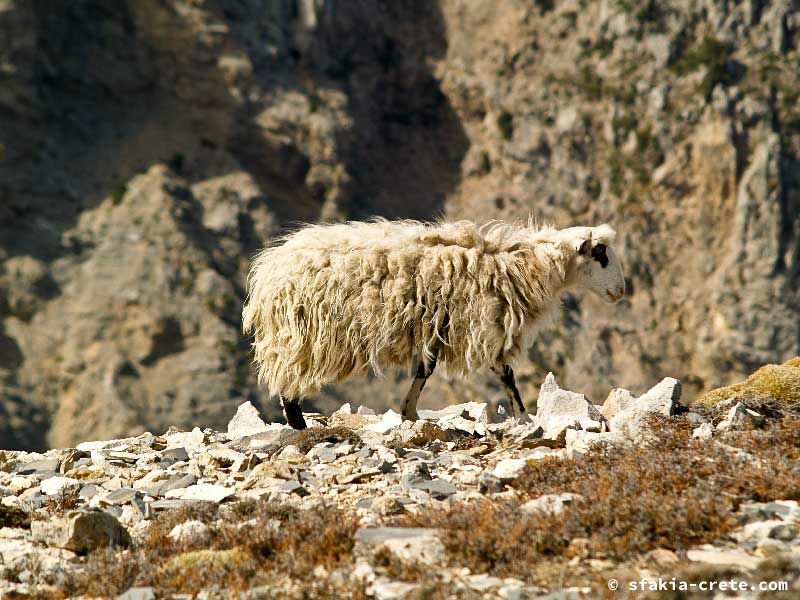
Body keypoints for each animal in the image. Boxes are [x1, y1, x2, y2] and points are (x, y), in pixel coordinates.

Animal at [242, 218, 624, 428]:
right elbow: (506, 376)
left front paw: (409, 412)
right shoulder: (485, 325)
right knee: (288, 384)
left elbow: (425, 368)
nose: (620, 292)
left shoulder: (438, 326)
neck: (526, 267)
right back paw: (301, 427)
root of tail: (268, 271)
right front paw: (524, 417)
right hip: (301, 333)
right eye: (601, 253)